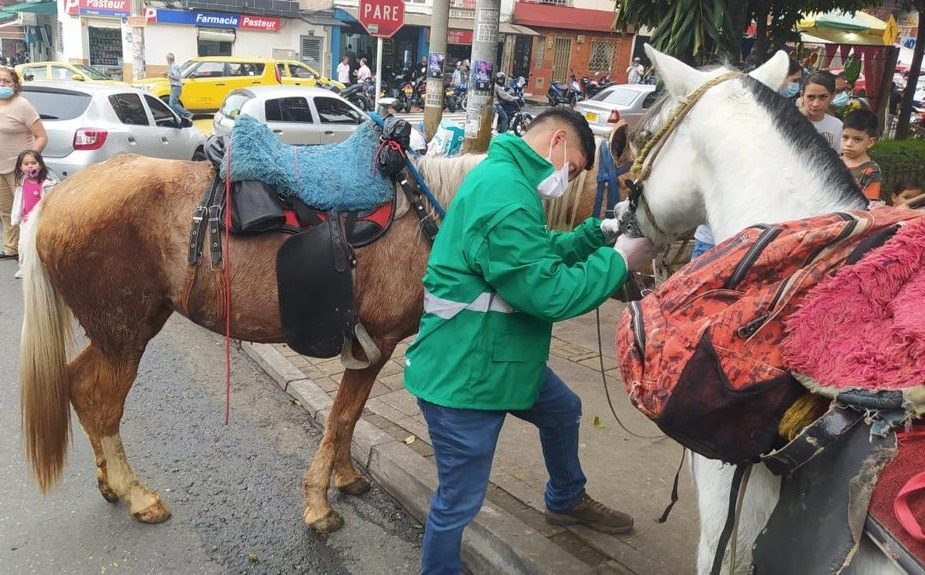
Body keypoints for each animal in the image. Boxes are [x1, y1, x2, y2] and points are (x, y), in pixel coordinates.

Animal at [19, 124, 628, 532]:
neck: (434, 213)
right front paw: (319, 502)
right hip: (125, 334)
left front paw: (345, 477)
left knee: (79, 386)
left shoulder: (370, 347)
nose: (634, 275)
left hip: (116, 333)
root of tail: (57, 198)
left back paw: (109, 482)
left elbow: (349, 418)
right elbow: (340, 417)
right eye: (624, 187)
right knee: (101, 401)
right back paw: (137, 494)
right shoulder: (377, 343)